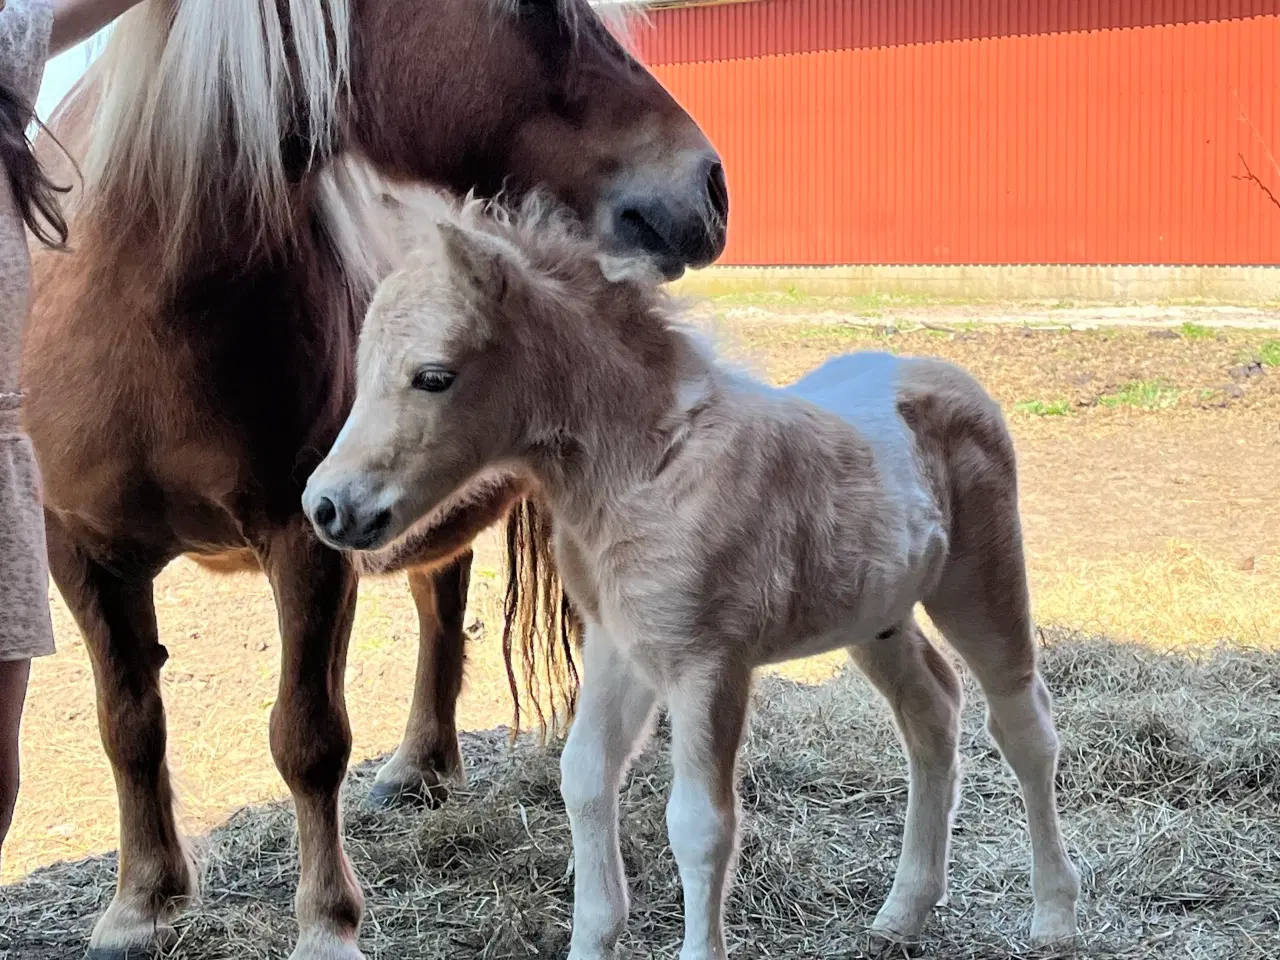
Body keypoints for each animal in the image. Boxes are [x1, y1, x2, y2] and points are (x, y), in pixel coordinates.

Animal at [24, 3, 727, 957]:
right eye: (530, 9)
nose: (709, 187)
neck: (139, 303)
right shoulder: (81, 551)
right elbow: (129, 725)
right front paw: (142, 903)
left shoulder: (308, 539)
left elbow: (308, 738)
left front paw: (326, 924)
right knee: (442, 609)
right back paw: (422, 766)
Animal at [302, 197, 1080, 960]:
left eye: (434, 375)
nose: (327, 507)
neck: (647, 471)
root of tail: (948, 374)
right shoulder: (619, 647)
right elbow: (584, 778)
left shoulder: (708, 664)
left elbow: (700, 825)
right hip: (876, 615)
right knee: (932, 711)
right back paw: (903, 912)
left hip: (981, 584)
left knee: (1023, 723)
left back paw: (1054, 915)